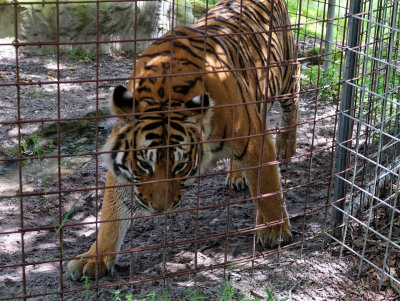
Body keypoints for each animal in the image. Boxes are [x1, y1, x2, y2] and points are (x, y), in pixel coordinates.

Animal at [67, 0, 298, 278]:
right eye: (144, 165)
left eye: (179, 166)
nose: (160, 209)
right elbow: (111, 211)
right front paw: (95, 257)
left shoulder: (254, 138)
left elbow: (267, 186)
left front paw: (275, 229)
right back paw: (236, 175)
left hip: (286, 76)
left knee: (293, 104)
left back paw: (286, 146)